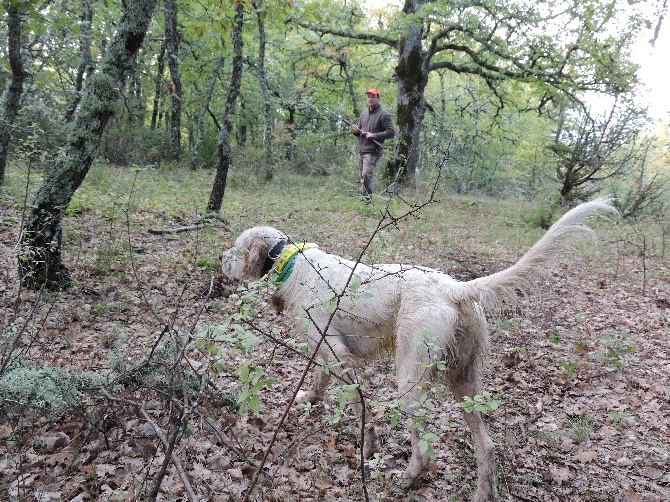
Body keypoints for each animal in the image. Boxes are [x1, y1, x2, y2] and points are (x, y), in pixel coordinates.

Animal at [222, 201, 620, 502]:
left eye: (237, 246)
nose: (222, 257)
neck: (289, 261)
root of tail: (456, 288)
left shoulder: (337, 350)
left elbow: (357, 402)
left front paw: (367, 445)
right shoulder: (324, 349)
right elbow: (320, 381)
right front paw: (310, 399)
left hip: (410, 377)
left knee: (425, 446)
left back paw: (409, 476)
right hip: (463, 380)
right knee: (487, 445)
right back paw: (483, 492)